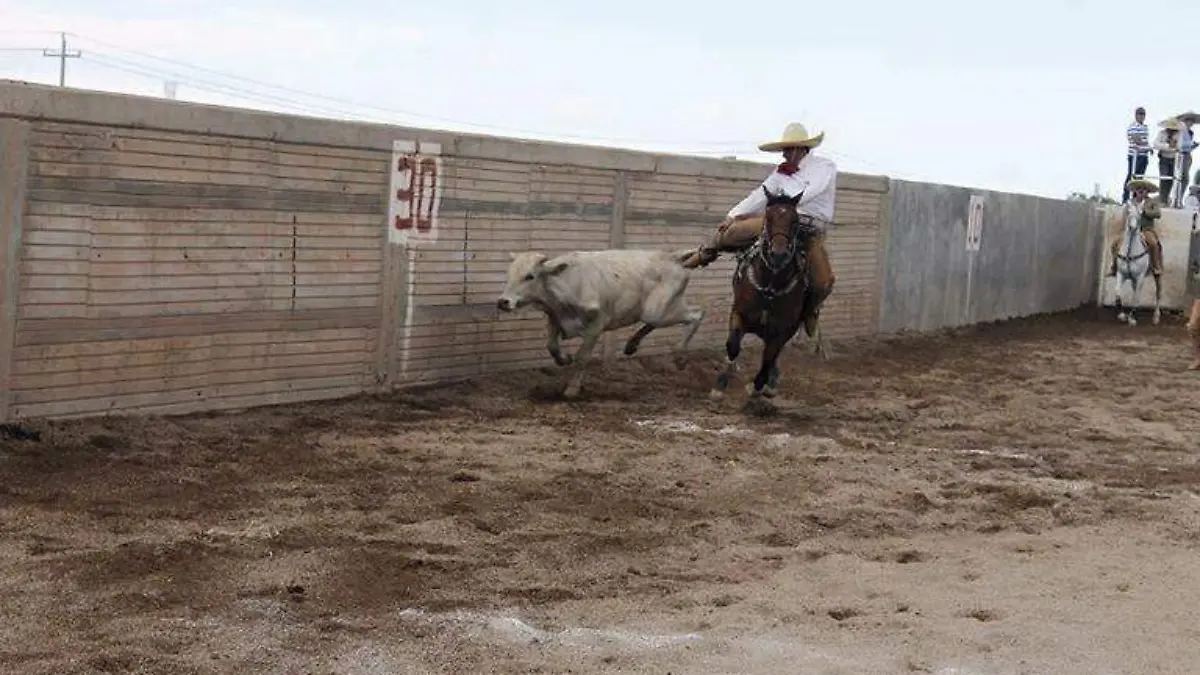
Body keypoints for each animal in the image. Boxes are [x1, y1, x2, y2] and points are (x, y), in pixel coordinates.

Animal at [496, 248, 707, 399]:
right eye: (509, 273)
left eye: (529, 276)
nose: (503, 302)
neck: (568, 281)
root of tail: (673, 257)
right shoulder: (555, 317)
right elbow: (552, 346)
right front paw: (565, 359)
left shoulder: (596, 325)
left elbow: (582, 357)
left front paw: (572, 389)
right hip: (657, 310)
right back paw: (632, 344)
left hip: (656, 311)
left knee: (697, 314)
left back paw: (679, 355)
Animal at [709, 187, 819, 399]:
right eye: (768, 217)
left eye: (795, 221)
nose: (778, 254)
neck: (770, 287)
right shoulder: (738, 314)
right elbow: (733, 345)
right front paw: (720, 384)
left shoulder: (784, 329)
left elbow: (769, 356)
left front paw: (758, 386)